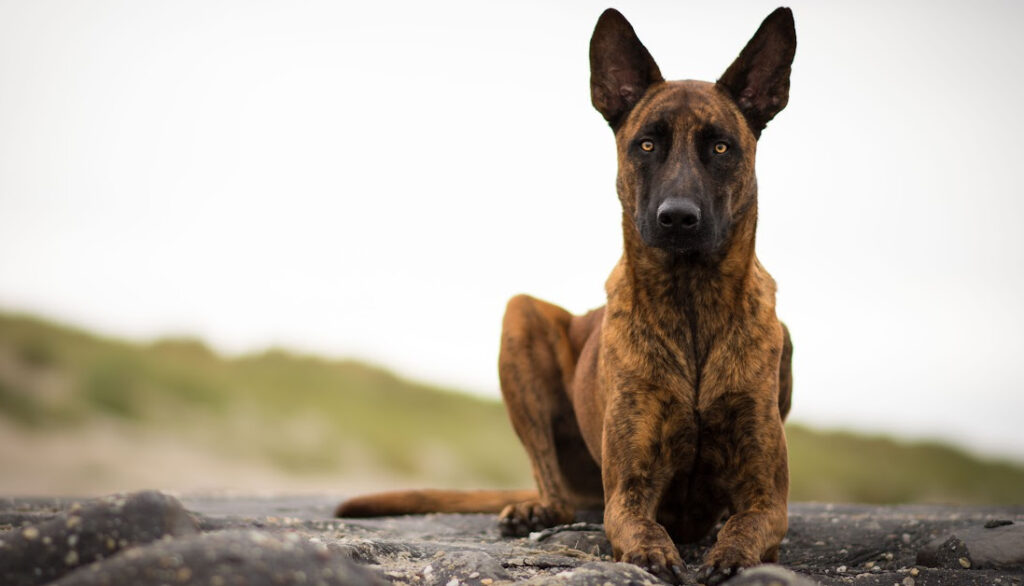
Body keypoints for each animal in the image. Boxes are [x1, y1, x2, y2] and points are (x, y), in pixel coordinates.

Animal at [335, 6, 790, 581]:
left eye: (721, 147)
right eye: (647, 144)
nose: (678, 218)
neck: (691, 302)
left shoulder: (766, 495)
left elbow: (748, 523)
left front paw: (731, 551)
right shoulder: (628, 490)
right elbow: (640, 527)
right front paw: (654, 553)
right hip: (521, 318)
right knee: (554, 488)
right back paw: (536, 508)